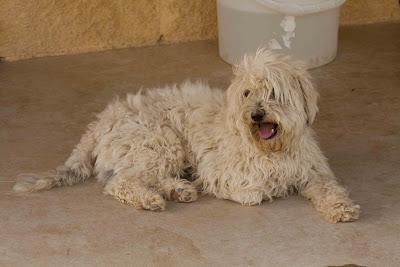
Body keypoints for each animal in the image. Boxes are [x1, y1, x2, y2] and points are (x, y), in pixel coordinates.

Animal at [14, 49, 360, 223]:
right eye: (247, 93)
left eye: (273, 92)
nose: (256, 115)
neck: (273, 147)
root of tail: (101, 120)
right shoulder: (227, 174)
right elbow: (255, 191)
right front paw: (272, 187)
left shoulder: (314, 171)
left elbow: (329, 189)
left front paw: (341, 208)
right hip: (159, 144)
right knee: (120, 183)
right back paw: (155, 197)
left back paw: (179, 189)